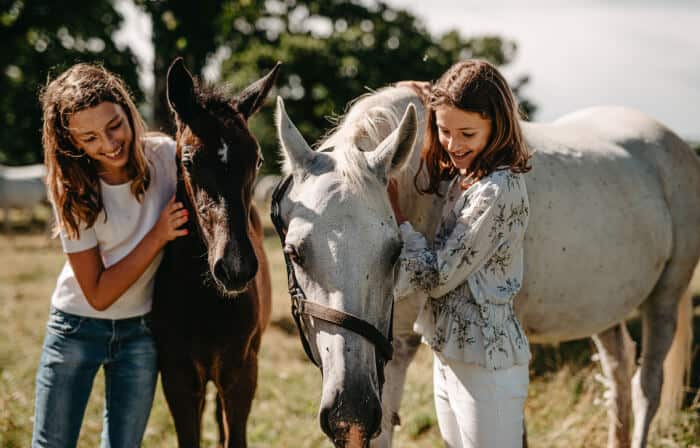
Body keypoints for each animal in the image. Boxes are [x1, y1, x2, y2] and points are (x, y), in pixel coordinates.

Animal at [273, 86, 700, 448]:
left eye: (395, 252)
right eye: (294, 252)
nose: (350, 413)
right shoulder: (390, 348)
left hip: (665, 298)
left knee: (647, 387)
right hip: (602, 306)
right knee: (618, 373)